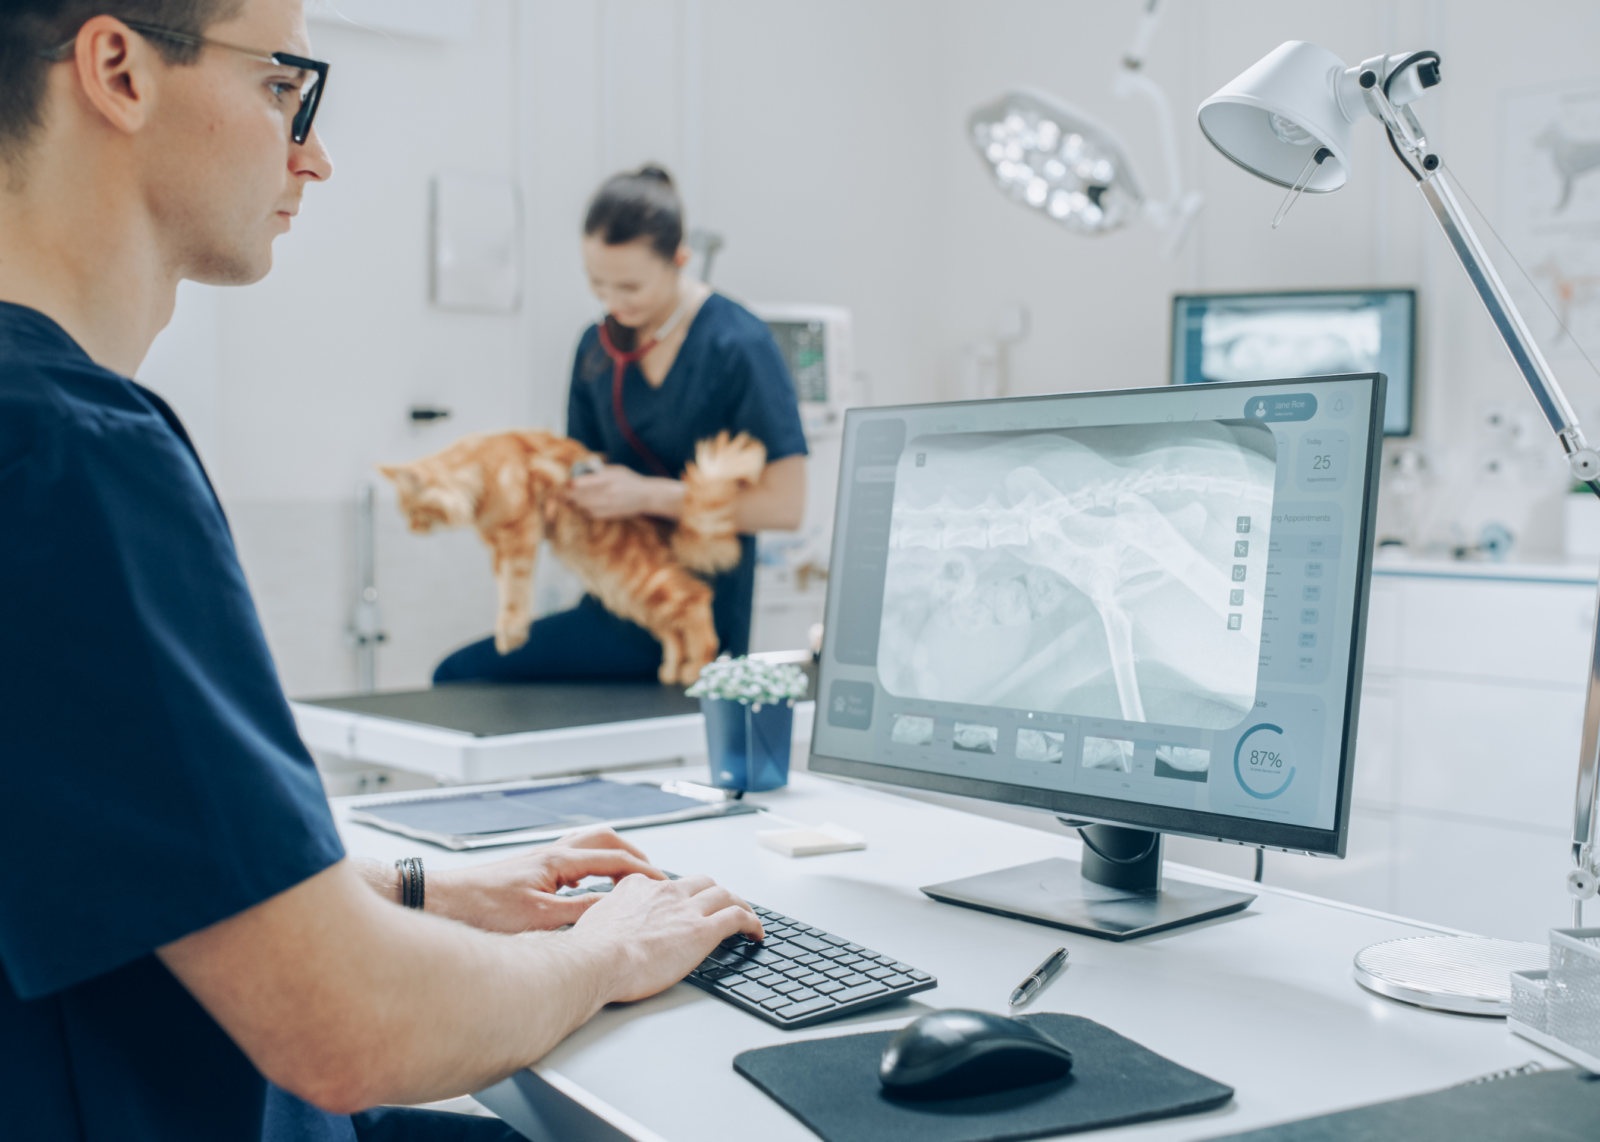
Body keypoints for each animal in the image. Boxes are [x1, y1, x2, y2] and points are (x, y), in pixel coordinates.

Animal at [380, 428, 768, 674]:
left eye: (413, 512)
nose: (412, 530)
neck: (481, 467)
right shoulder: (497, 545)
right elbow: (505, 585)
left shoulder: (518, 533)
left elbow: (513, 590)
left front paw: (510, 633)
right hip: (626, 594)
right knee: (671, 627)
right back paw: (671, 669)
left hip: (640, 580)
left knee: (696, 601)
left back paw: (696, 671)